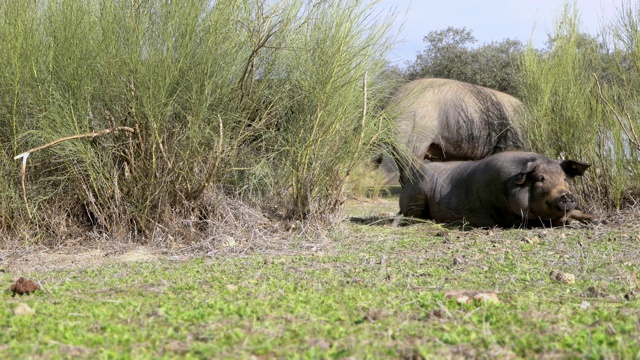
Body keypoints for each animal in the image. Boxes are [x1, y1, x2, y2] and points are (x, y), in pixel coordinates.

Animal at [396, 152, 596, 228]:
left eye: (564, 179)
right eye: (540, 179)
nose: (566, 195)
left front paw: (594, 220)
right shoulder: (508, 215)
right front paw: (572, 222)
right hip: (416, 196)